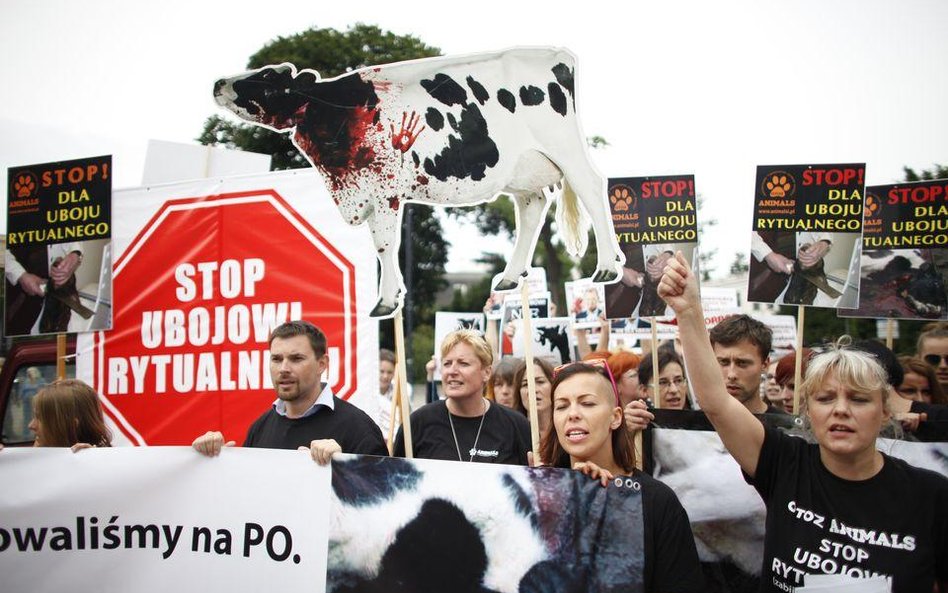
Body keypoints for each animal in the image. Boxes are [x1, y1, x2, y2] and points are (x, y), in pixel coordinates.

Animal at [218, 48, 624, 316]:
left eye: (269, 80)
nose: (219, 81)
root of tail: (556, 53)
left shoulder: (382, 189)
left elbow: (385, 246)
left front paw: (385, 302)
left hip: (565, 148)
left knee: (591, 186)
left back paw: (606, 266)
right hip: (523, 168)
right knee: (533, 206)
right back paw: (510, 277)